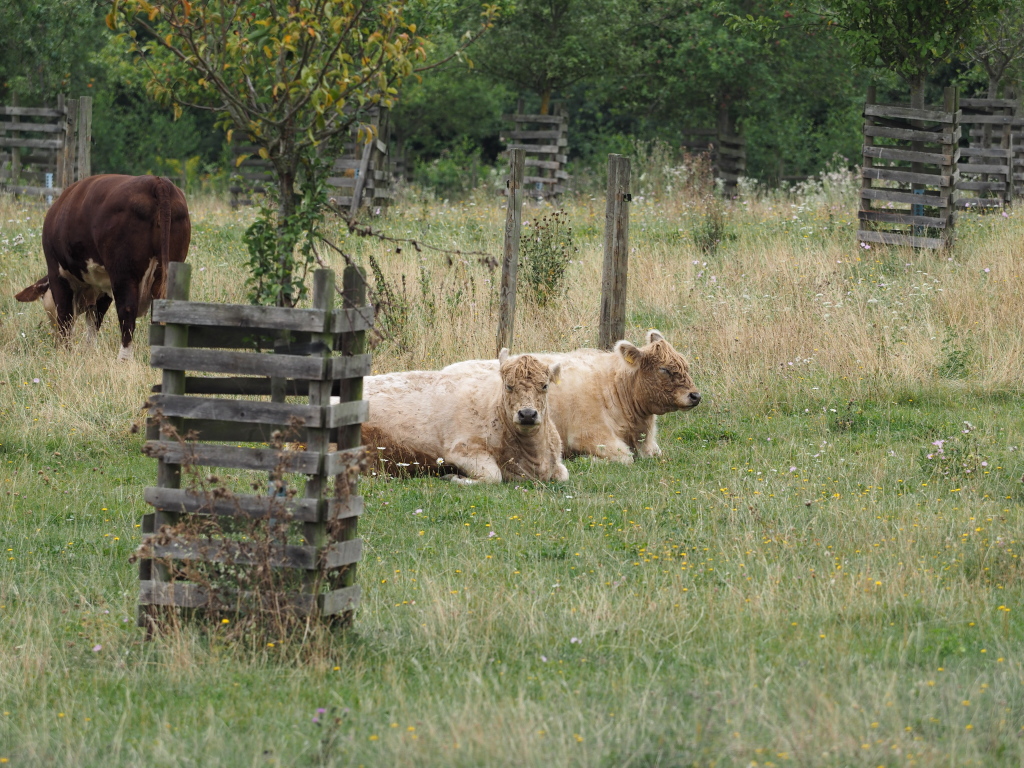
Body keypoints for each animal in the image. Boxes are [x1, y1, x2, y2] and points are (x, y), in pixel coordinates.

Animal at [14, 174, 191, 360]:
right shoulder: (103, 288)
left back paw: (123, 359)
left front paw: (65, 352)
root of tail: (157, 182)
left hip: (123, 273)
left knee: (127, 311)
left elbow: (66, 316)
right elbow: (94, 320)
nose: (53, 339)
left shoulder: (58, 275)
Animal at [359, 349, 569, 483]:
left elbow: (564, 475)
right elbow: (493, 477)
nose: (527, 414)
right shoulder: (463, 450)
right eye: (509, 386)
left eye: (545, 386)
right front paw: (453, 476)